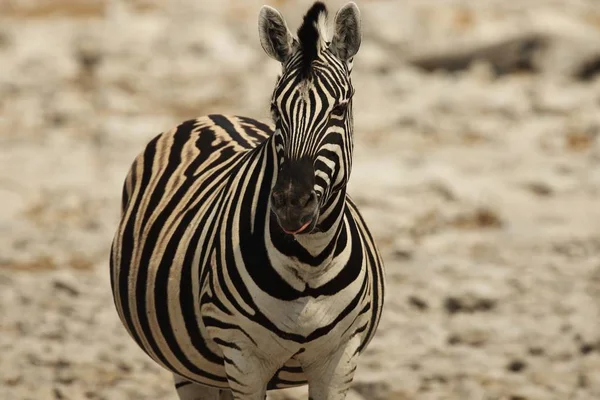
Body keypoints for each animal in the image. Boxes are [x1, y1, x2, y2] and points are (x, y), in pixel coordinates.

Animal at [109, 1, 384, 398]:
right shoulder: (244, 359)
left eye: (339, 109)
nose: (292, 203)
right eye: (276, 110)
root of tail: (212, 115)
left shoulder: (340, 358)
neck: (311, 260)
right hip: (192, 367)